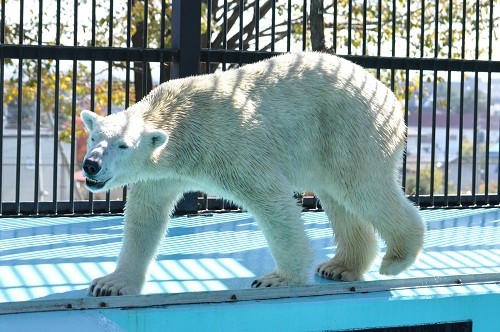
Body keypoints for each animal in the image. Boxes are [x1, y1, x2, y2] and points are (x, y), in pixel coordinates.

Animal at [82, 52, 426, 296]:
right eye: (94, 137)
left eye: (123, 145)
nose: (91, 165)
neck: (181, 121)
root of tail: (387, 92)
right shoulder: (159, 176)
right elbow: (145, 217)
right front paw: (111, 283)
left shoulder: (231, 144)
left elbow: (272, 200)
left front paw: (280, 278)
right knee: (339, 198)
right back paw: (339, 267)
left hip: (350, 126)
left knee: (362, 187)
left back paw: (397, 258)